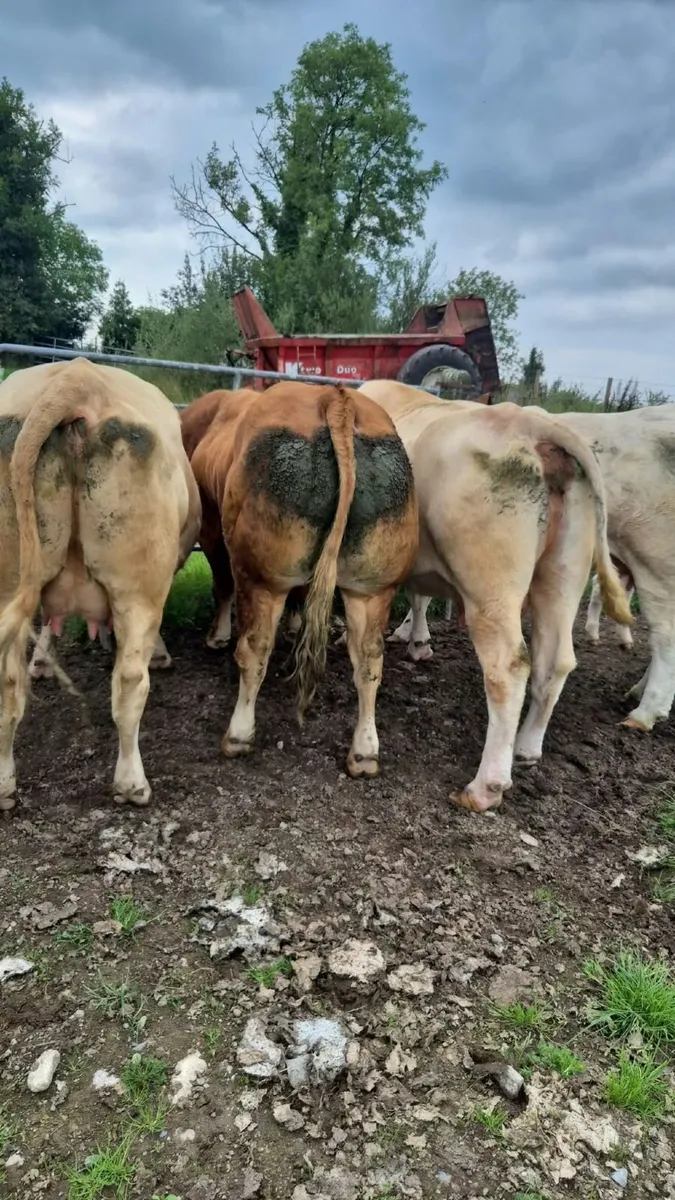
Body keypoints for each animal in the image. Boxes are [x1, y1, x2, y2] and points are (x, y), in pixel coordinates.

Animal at [0, 358, 201, 810]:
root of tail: (77, 379)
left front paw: (42, 661)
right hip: (138, 588)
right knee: (129, 683)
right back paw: (132, 784)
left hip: (7, 580)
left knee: (6, 683)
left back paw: (3, 783)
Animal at [181, 380, 418, 775]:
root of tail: (333, 398)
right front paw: (293, 627)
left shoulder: (212, 530)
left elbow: (222, 585)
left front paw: (217, 636)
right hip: (373, 587)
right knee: (369, 659)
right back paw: (364, 752)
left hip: (262, 577)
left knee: (255, 649)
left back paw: (238, 735)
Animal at [357, 379, 632, 812]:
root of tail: (532, 423)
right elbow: (419, 597)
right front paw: (417, 639)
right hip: (562, 574)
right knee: (556, 660)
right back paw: (527, 748)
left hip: (490, 588)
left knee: (509, 667)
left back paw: (485, 786)